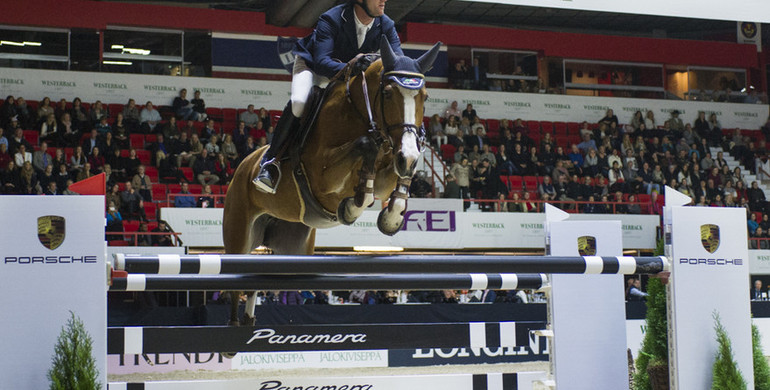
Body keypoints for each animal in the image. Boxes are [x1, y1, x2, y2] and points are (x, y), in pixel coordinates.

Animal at [222, 38, 438, 324]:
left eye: (424, 97)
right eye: (388, 93)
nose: (409, 157)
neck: (359, 115)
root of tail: (243, 165)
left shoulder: (388, 173)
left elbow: (396, 179)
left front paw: (392, 217)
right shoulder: (323, 179)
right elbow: (364, 147)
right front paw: (352, 208)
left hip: (293, 249)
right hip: (238, 235)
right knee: (236, 281)